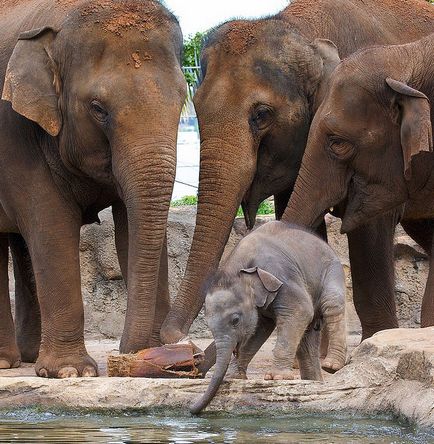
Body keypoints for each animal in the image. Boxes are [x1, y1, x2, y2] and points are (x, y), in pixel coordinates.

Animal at [0, 0, 185, 378]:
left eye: (182, 98)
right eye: (98, 109)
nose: (128, 353)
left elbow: (131, 227)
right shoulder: (15, 131)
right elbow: (51, 225)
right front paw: (72, 372)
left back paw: (26, 356)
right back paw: (6, 361)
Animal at [160, 0, 434, 346]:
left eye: (262, 115)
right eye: (195, 109)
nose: (176, 338)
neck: (301, 29)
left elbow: (371, 235)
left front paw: (375, 341)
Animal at [192, 222, 348, 416]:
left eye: (235, 320)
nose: (192, 410)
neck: (238, 268)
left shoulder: (282, 278)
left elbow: (301, 310)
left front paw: (276, 377)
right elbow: (259, 330)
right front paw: (235, 377)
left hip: (331, 270)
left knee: (331, 304)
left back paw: (332, 366)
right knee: (306, 339)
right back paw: (313, 383)